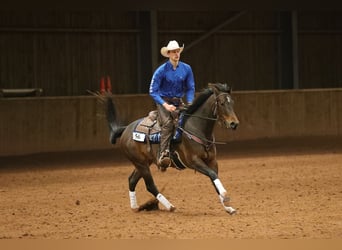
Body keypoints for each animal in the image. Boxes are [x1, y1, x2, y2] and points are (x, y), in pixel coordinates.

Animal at [103, 82, 239, 215]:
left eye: (232, 102)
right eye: (222, 103)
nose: (234, 123)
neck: (196, 128)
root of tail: (126, 129)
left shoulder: (212, 161)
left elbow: (214, 178)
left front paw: (228, 208)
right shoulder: (193, 161)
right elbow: (212, 175)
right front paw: (226, 197)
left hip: (143, 163)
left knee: (132, 180)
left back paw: (135, 207)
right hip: (140, 163)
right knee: (150, 185)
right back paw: (170, 206)